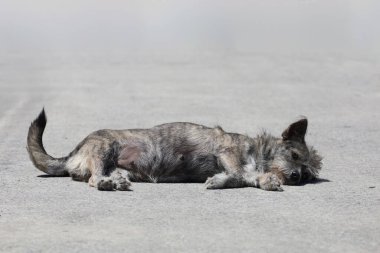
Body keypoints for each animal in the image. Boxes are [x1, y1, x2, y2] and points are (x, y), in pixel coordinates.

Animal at [27, 109, 324, 192]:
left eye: (307, 175)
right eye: (294, 156)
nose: (296, 176)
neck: (256, 151)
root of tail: (73, 153)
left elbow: (243, 176)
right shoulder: (227, 153)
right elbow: (240, 174)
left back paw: (118, 180)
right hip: (105, 147)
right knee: (93, 178)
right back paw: (106, 183)